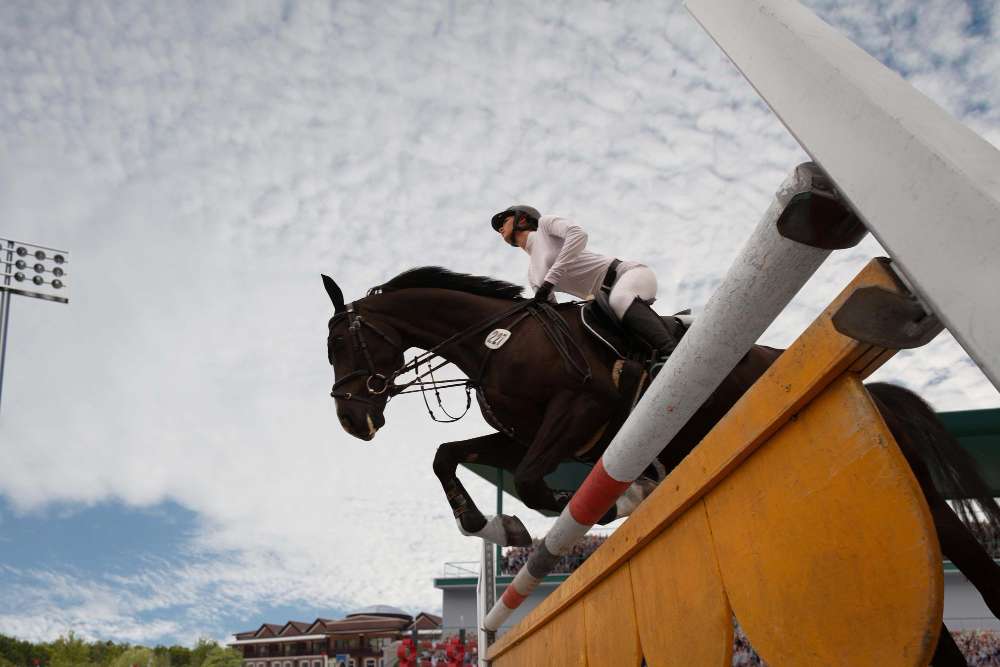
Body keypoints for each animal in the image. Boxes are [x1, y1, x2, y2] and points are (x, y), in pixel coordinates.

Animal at [323, 266, 1000, 666]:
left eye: (338, 343)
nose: (352, 421)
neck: (498, 339)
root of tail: (872, 391)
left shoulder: (578, 410)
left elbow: (543, 486)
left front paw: (620, 502)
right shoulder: (526, 437)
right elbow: (450, 457)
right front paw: (491, 525)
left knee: (963, 549)